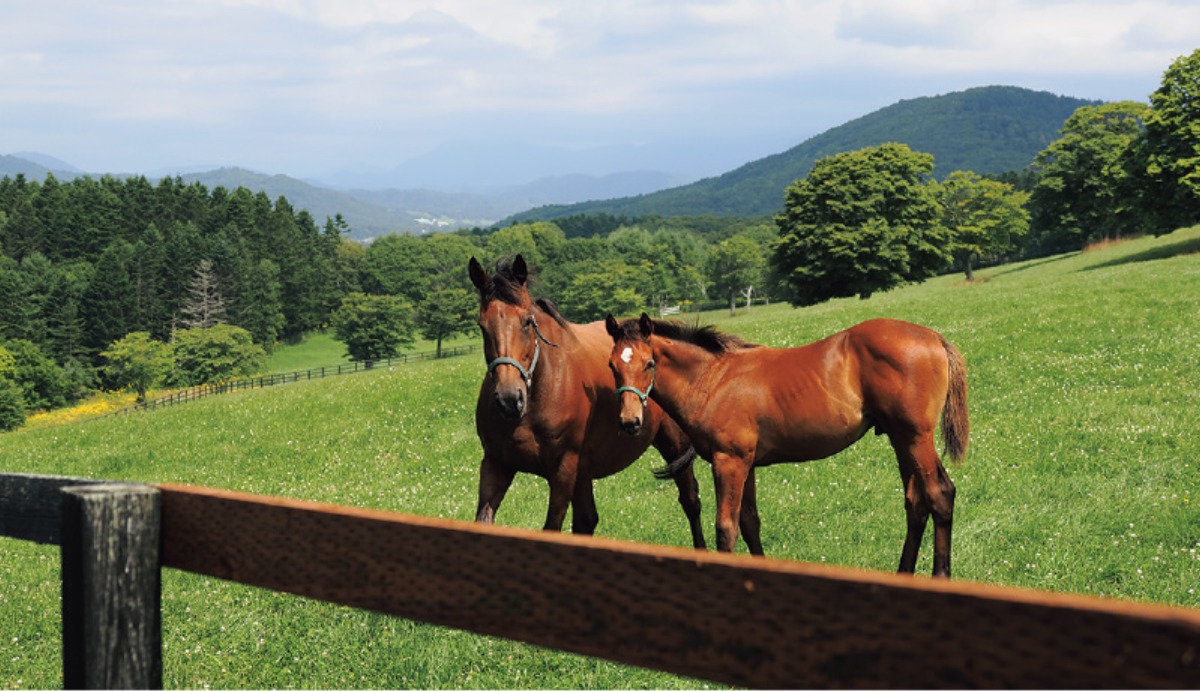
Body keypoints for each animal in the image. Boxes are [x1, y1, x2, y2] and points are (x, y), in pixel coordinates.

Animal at [468, 256, 710, 547]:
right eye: (482, 326)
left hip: (675, 446)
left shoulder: (562, 471)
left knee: (691, 500)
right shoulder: (496, 465)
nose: (509, 398)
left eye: (527, 321)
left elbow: (552, 528)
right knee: (587, 521)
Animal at [604, 311, 969, 578]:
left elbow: (726, 528)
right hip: (900, 439)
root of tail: (933, 337)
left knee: (939, 494)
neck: (714, 380)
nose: (629, 422)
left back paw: (941, 576)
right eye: (612, 365)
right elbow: (750, 523)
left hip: (915, 437)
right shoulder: (746, 463)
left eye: (649, 363)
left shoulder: (728, 461)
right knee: (916, 502)